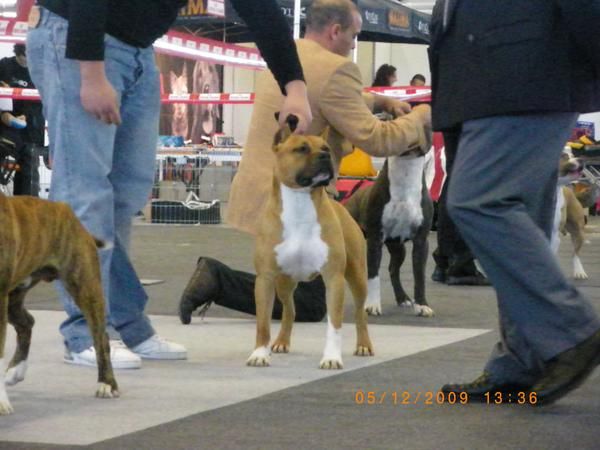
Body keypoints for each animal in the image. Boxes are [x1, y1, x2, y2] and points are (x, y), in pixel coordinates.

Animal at [0, 193, 118, 414]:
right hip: (13, 297)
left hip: (85, 286)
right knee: (27, 323)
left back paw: (107, 384)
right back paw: (15, 371)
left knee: (101, 338)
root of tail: (65, 210)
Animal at [552, 149, 588, 280]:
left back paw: (579, 271)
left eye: (572, 155)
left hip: (578, 231)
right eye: (564, 156)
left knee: (575, 253)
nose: (581, 159)